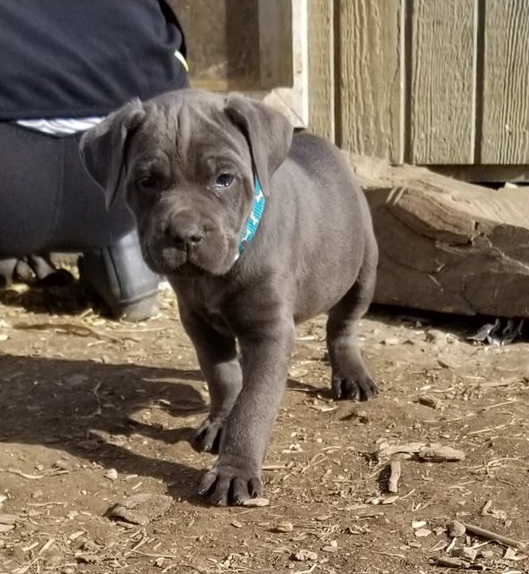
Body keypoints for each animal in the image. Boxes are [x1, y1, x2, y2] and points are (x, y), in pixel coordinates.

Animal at [78, 88, 378, 506]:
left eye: (224, 180)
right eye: (147, 181)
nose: (185, 235)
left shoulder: (270, 332)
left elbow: (253, 405)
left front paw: (234, 470)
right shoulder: (198, 323)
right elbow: (223, 377)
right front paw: (220, 423)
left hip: (364, 264)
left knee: (343, 324)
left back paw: (351, 375)